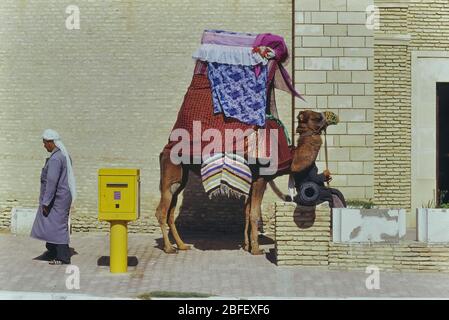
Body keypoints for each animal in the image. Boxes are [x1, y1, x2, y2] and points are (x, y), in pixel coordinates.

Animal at [156, 110, 334, 255]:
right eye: (318, 117)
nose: (332, 117)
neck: (290, 157)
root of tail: (164, 150)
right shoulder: (261, 179)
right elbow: (254, 213)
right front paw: (256, 249)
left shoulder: (252, 180)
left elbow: (247, 212)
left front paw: (247, 245)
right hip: (170, 172)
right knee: (162, 211)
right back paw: (169, 248)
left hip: (181, 177)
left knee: (171, 211)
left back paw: (182, 245)